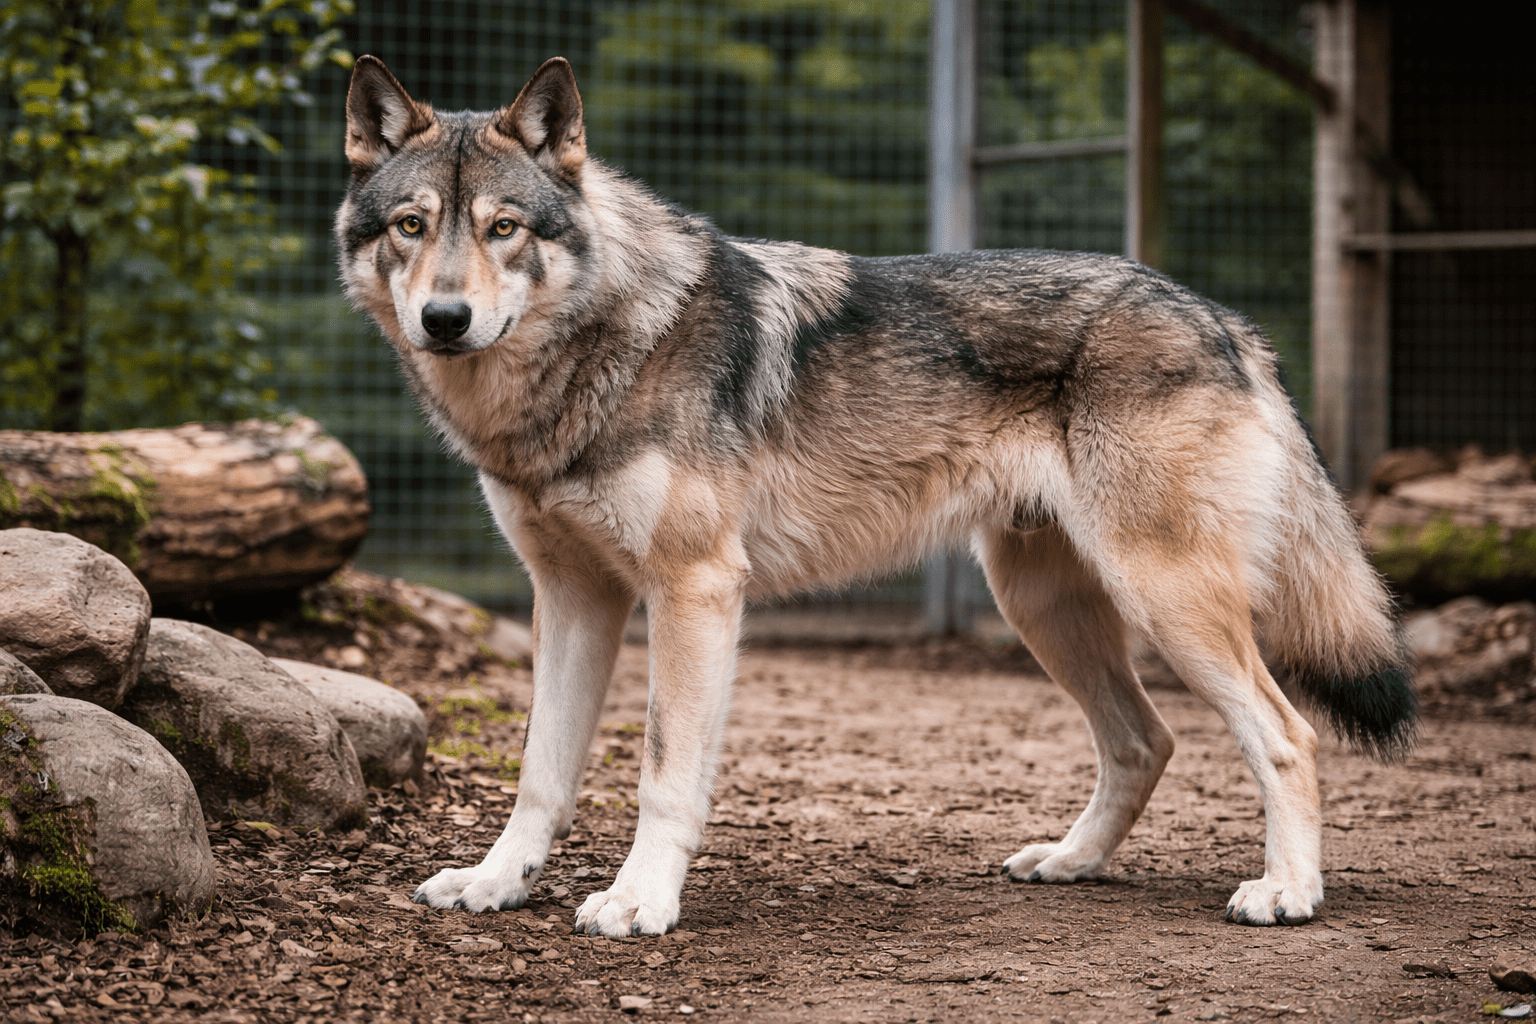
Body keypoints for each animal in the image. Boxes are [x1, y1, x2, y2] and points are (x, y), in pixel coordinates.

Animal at [335, 54, 1416, 937]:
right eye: (411, 227)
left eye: (504, 229)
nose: (444, 318)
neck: (597, 355)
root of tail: (1227, 321)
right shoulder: (572, 597)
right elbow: (541, 772)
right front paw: (495, 882)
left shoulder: (694, 589)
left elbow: (662, 774)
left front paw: (639, 902)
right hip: (1047, 606)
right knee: (1144, 741)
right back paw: (1071, 862)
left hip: (1167, 601)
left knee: (1288, 735)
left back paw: (1289, 894)